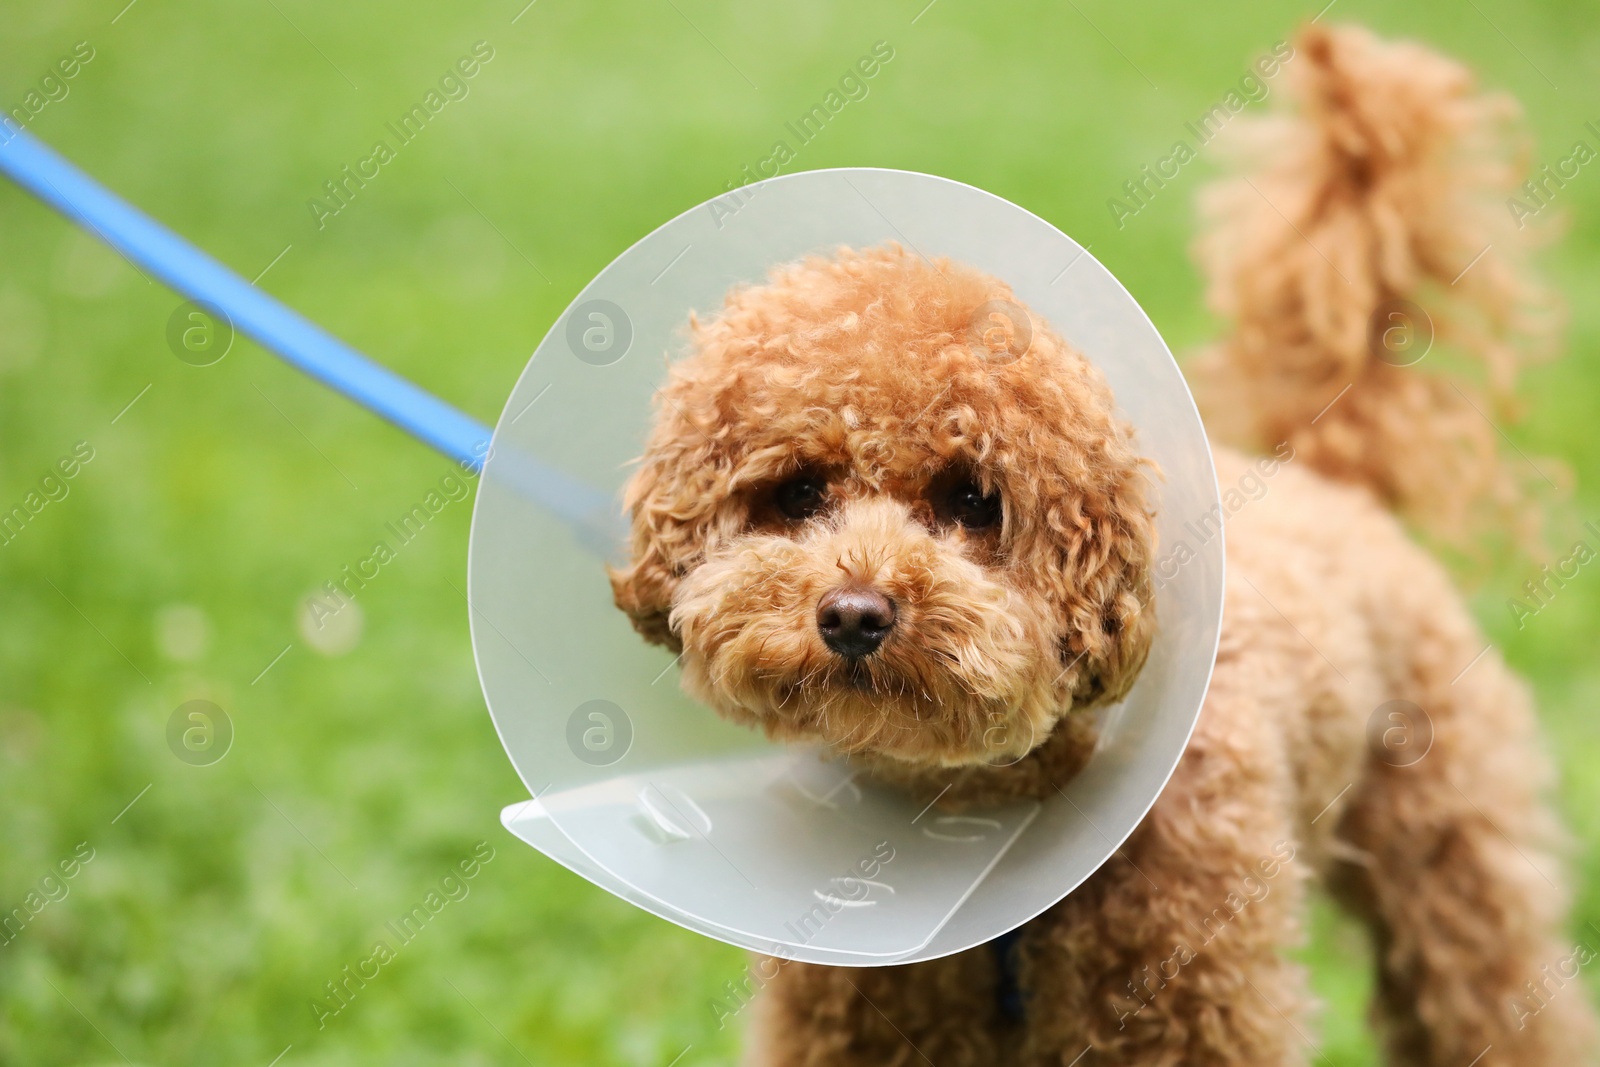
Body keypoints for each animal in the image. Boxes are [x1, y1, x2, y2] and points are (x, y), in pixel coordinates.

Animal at [604, 24, 1593, 1067]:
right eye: (796, 492)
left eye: (973, 499)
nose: (854, 614)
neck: (985, 839)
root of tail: (1323, 470)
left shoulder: (1206, 1011)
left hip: (1448, 842)